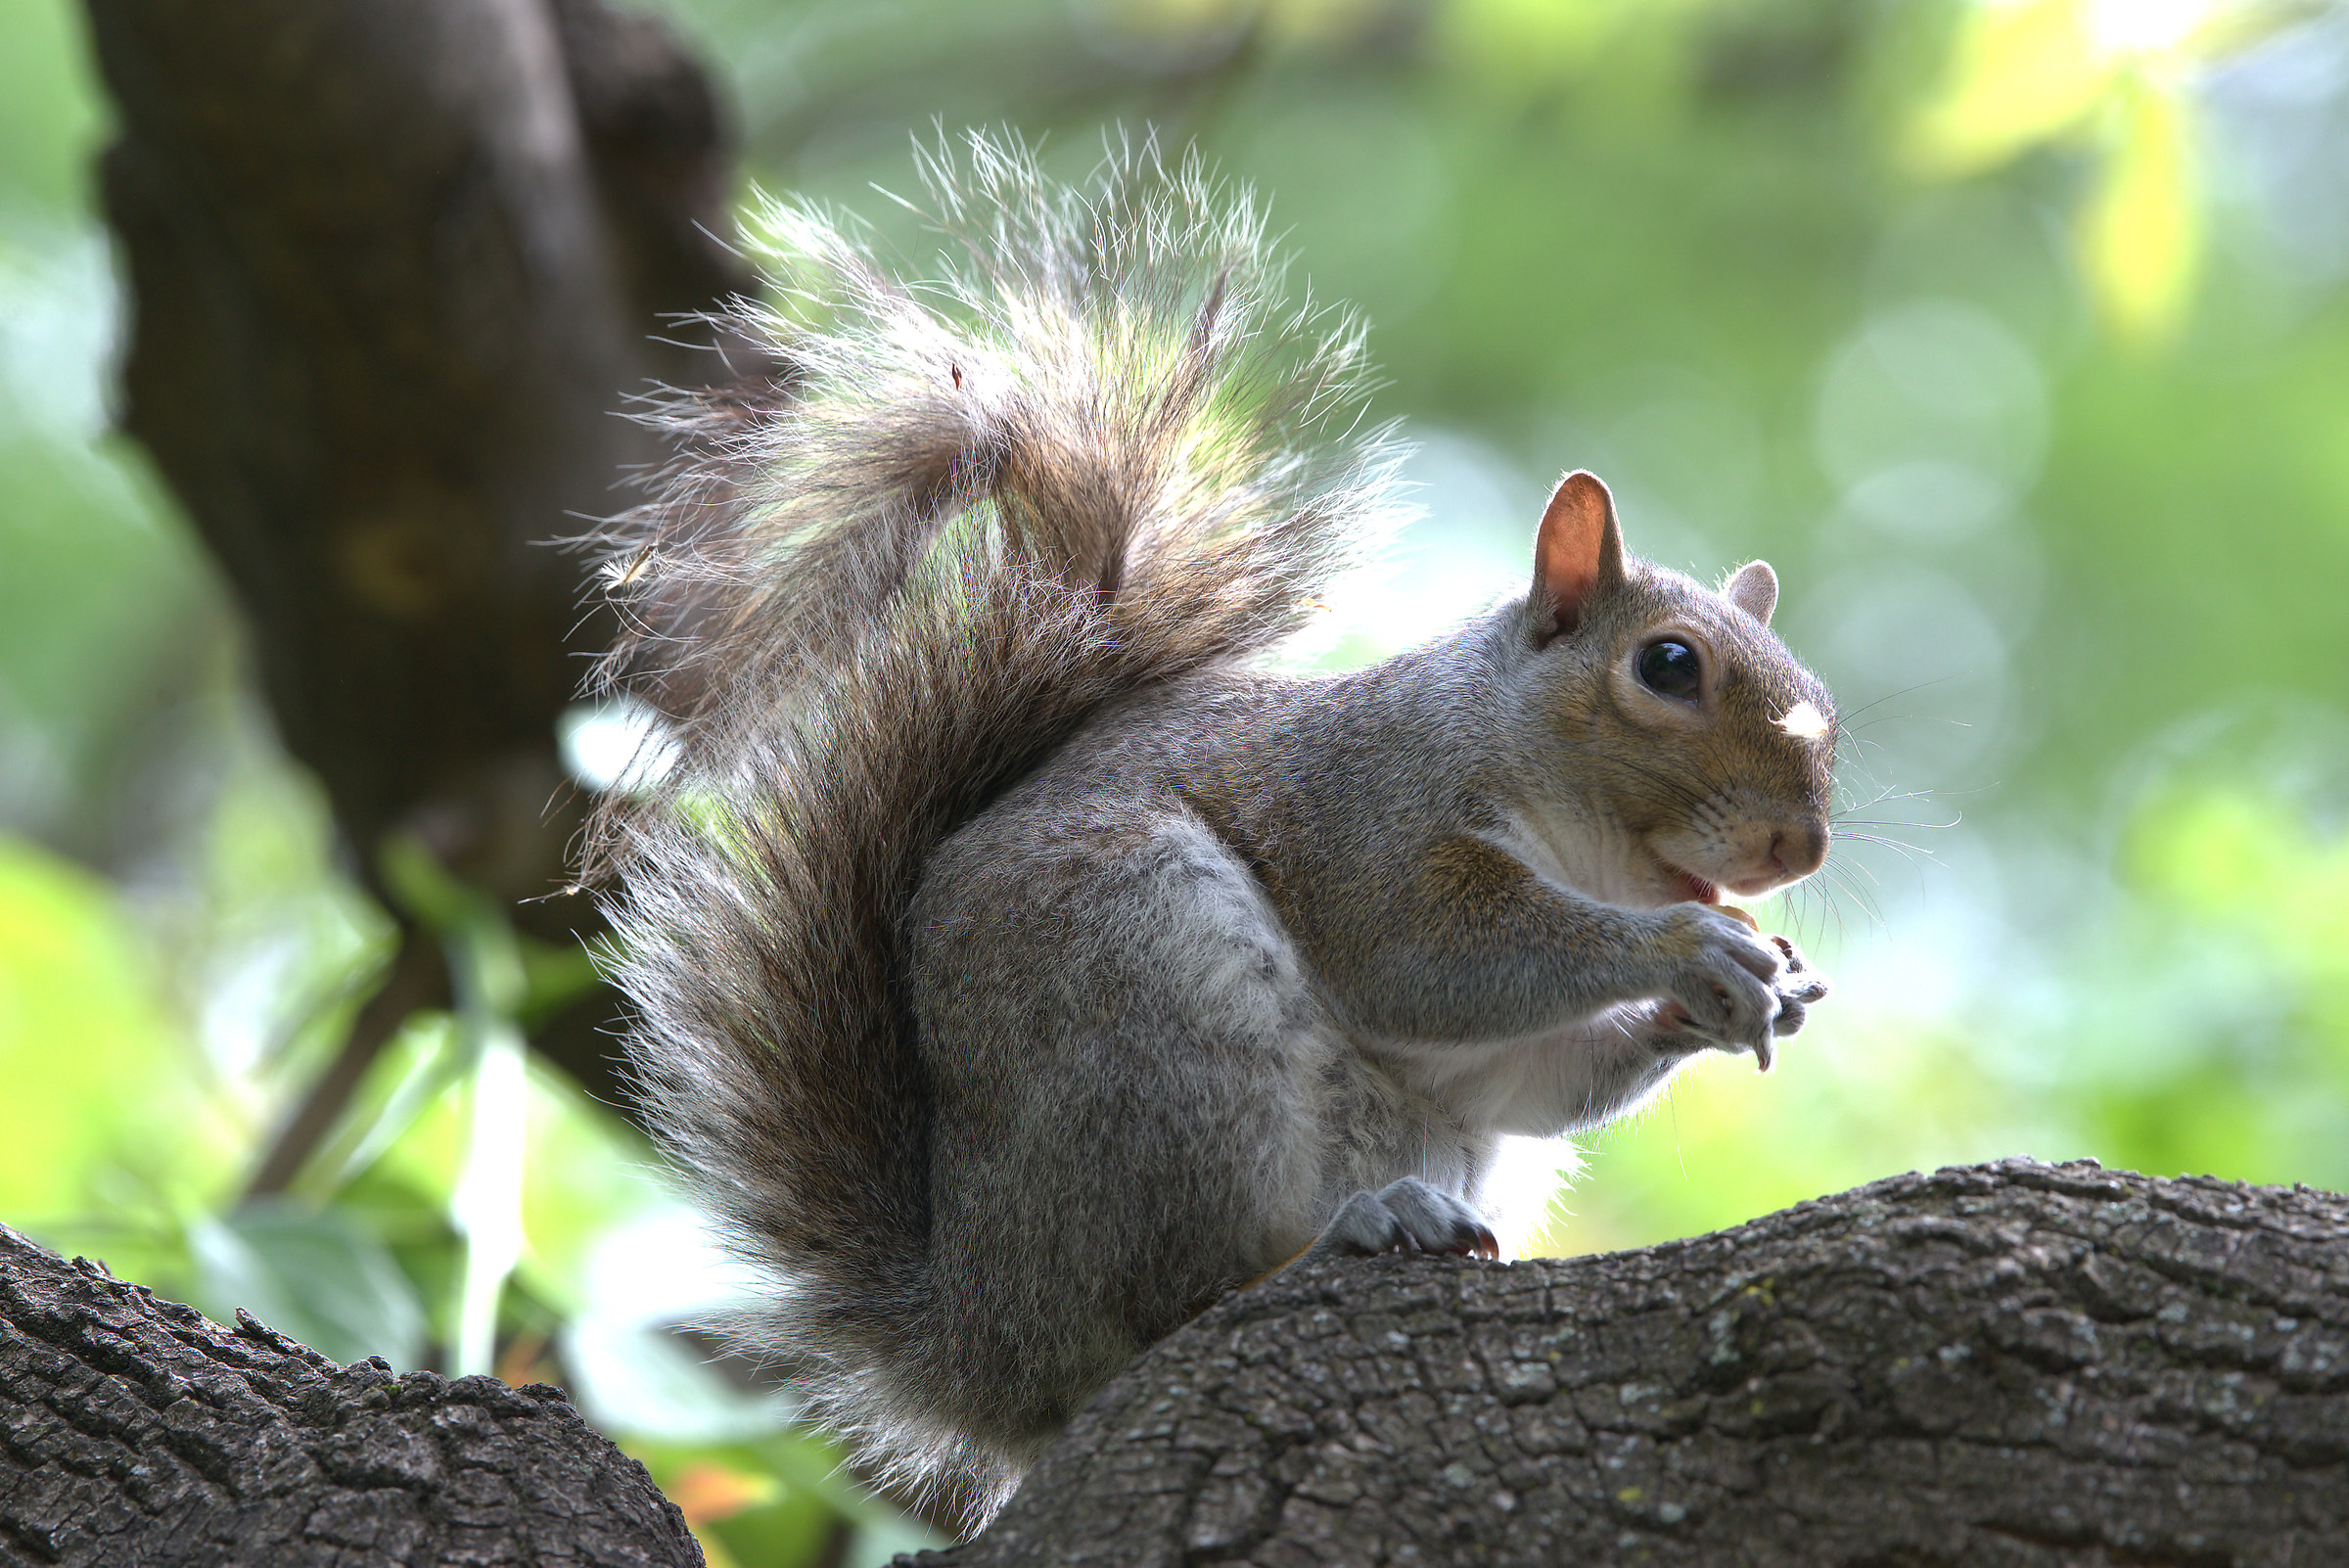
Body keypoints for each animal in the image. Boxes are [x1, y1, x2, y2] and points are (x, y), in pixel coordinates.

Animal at [585, 134, 1837, 1525]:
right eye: (1667, 667)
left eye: (1824, 706)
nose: (1801, 848)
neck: (1573, 836)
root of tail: (979, 1340)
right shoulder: (1367, 818)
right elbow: (1433, 958)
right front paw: (1688, 951)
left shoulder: (1487, 1059)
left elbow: (1532, 1072)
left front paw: (1747, 996)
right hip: (1150, 1003)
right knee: (1166, 1308)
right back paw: (1340, 1237)